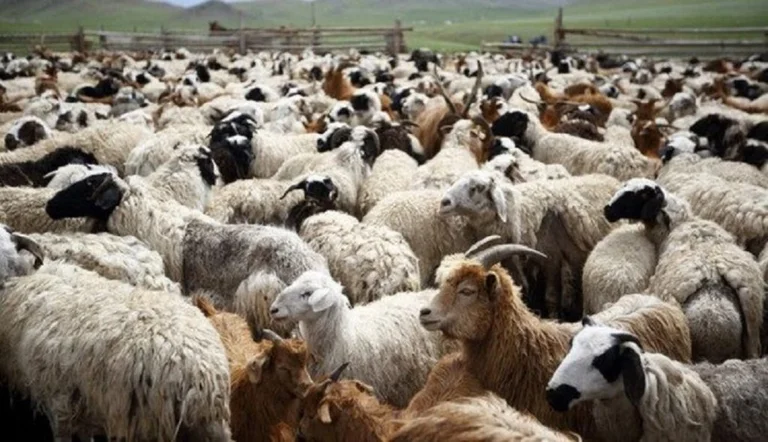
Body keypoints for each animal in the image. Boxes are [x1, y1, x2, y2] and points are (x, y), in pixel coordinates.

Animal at [439, 169, 619, 319]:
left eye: (477, 188)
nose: (444, 203)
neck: (522, 214)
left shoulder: (551, 258)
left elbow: (550, 297)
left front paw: (554, 318)